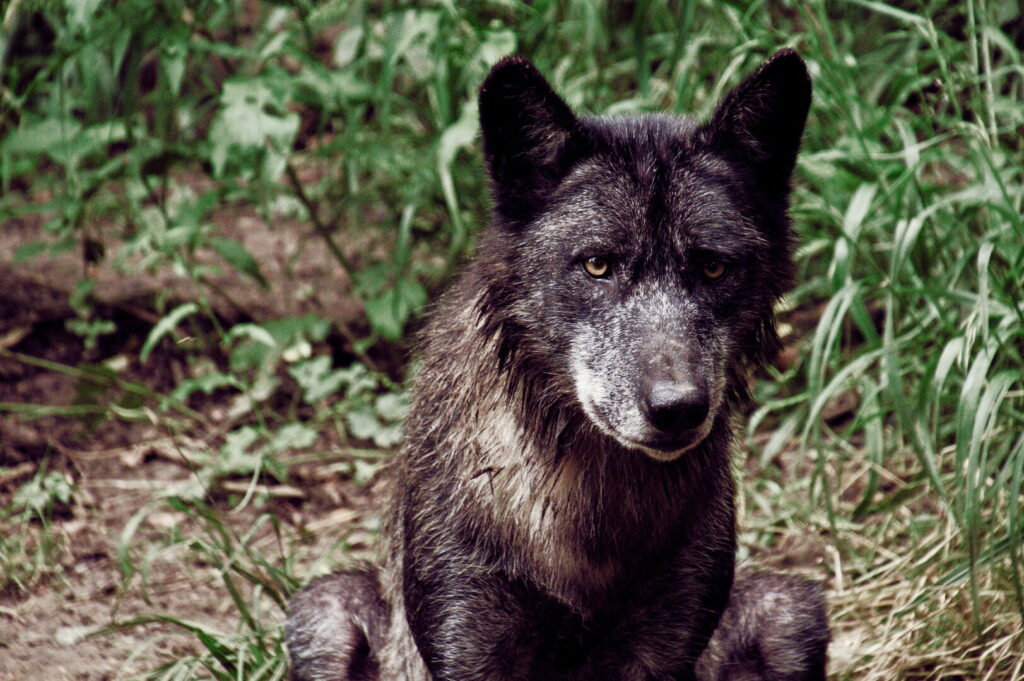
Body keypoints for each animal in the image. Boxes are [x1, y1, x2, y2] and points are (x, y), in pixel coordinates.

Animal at [284, 49, 827, 679]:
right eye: (597, 265)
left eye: (713, 268)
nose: (678, 408)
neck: (589, 518)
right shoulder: (467, 639)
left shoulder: (666, 646)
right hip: (322, 609)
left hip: (791, 609)